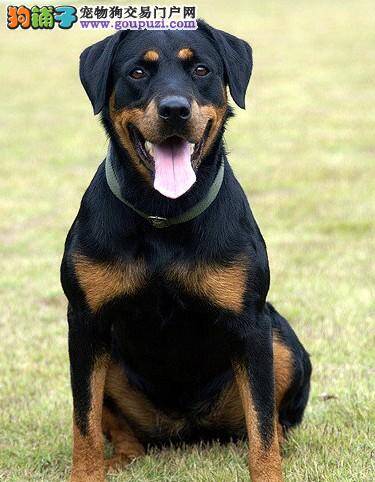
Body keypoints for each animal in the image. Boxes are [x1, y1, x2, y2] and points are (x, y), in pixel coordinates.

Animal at [61, 19, 312, 482]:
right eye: (137, 72)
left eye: (200, 70)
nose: (175, 110)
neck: (164, 213)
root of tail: (189, 428)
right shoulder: (85, 323)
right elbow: (83, 423)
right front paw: (87, 473)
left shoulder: (251, 325)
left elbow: (262, 425)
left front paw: (269, 470)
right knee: (117, 426)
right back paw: (123, 456)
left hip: (279, 340)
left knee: (268, 421)